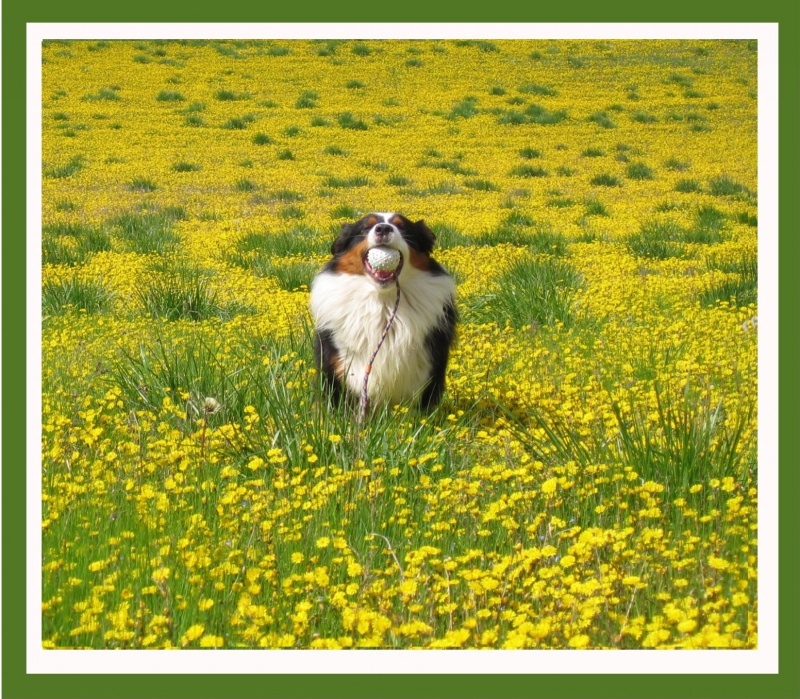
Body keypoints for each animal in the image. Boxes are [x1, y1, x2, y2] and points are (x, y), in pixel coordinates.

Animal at [310, 213, 456, 410]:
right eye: (366, 227)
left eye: (402, 227)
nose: (384, 228)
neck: (383, 303)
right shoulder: (337, 363)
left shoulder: (429, 366)